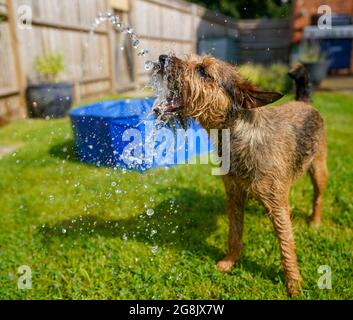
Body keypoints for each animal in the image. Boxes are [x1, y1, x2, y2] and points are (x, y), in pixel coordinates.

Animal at [153, 55, 328, 298]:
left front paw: (294, 284)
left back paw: (315, 222)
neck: (240, 137)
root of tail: (304, 102)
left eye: (203, 71)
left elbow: (286, 246)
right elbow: (234, 235)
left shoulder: (278, 207)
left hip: (319, 169)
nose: (163, 58)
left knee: (318, 197)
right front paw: (230, 261)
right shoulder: (234, 197)